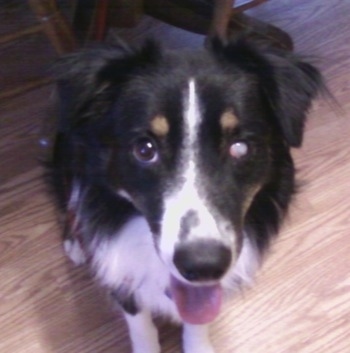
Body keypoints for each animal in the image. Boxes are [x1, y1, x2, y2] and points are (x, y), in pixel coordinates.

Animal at [50, 37, 324, 350]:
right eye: (145, 149)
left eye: (240, 147)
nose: (203, 265)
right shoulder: (122, 273)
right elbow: (140, 324)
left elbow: (198, 321)